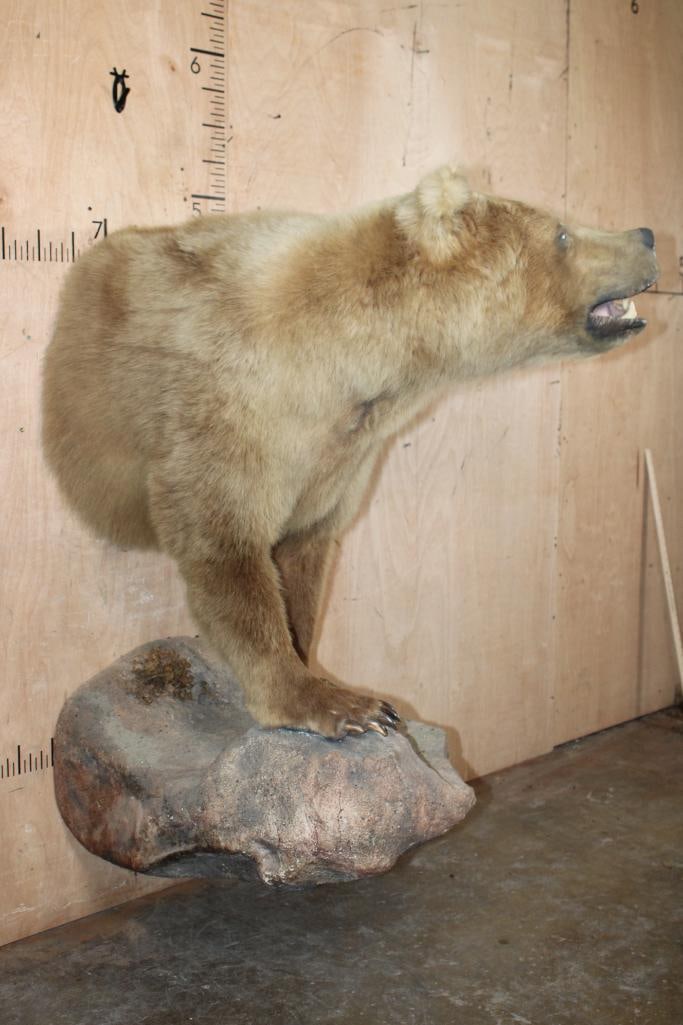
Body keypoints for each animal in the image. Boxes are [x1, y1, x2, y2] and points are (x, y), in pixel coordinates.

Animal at [42, 166, 658, 739]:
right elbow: (226, 548)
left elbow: (303, 549)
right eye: (562, 233)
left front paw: (313, 659)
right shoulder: (233, 409)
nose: (649, 233)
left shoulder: (343, 455)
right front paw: (345, 706)